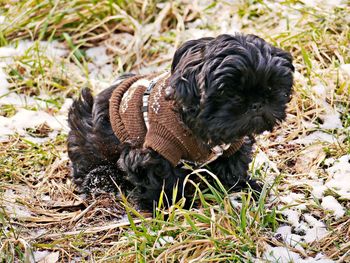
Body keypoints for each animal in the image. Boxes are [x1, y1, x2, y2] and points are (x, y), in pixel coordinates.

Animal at [67, 34, 294, 213]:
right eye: (230, 93)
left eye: (272, 87)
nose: (257, 102)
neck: (199, 127)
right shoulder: (154, 149)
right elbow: (161, 179)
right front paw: (167, 205)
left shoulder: (234, 144)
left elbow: (233, 166)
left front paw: (243, 187)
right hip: (91, 138)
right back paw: (101, 178)